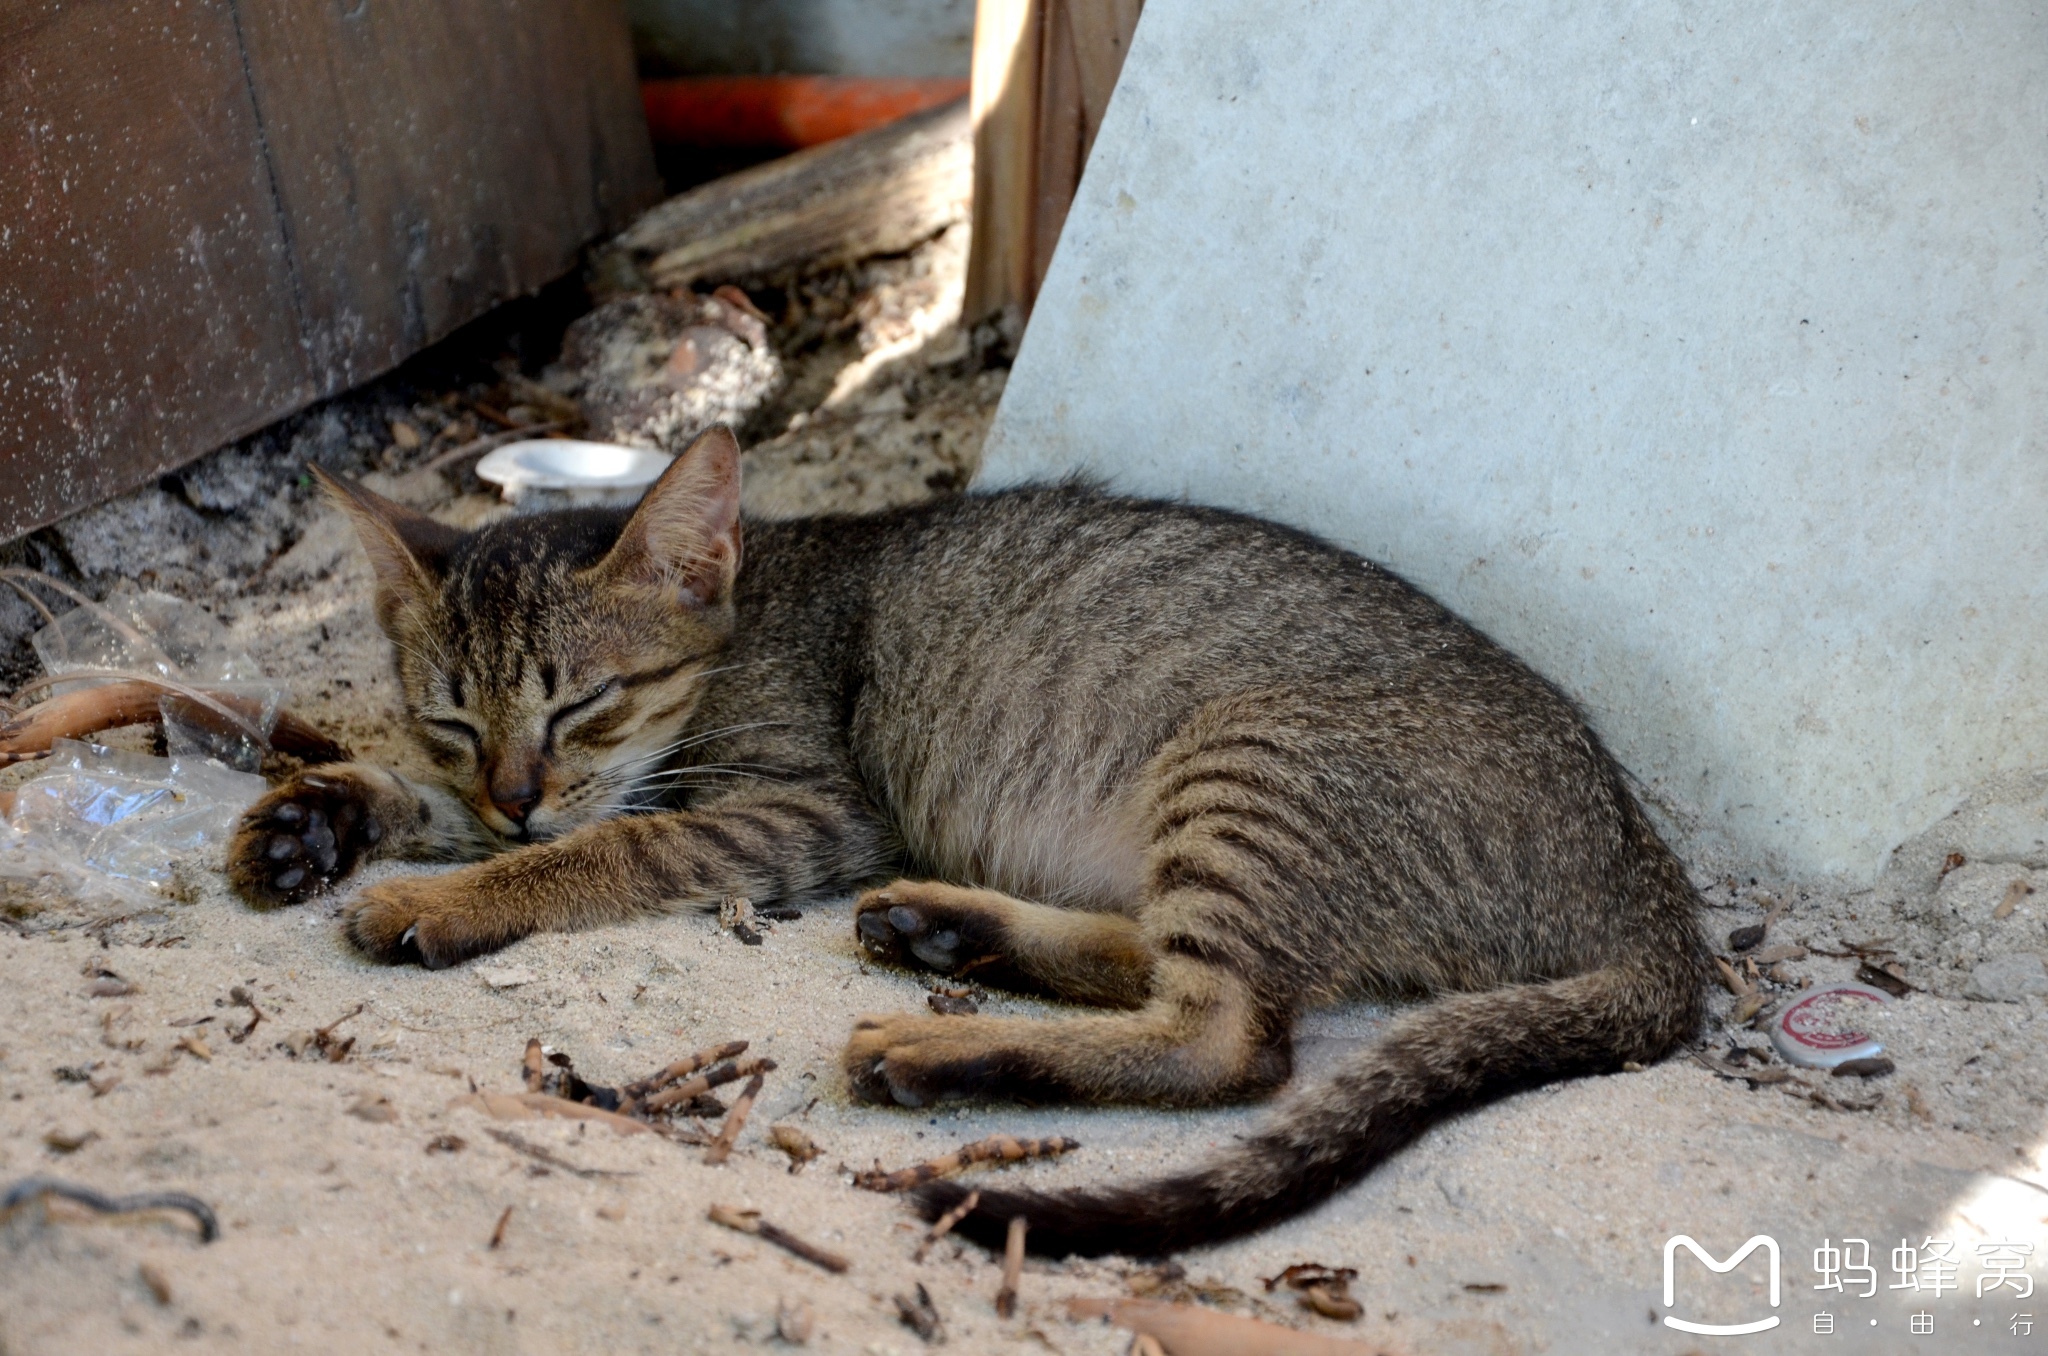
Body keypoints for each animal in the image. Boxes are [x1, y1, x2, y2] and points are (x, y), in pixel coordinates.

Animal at [224, 430, 1703, 1261]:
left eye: (579, 704)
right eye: (451, 718)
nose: (513, 795)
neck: (746, 617)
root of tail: (1645, 868)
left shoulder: (806, 806)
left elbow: (605, 851)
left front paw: (455, 893)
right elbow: (434, 799)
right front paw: (316, 816)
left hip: (1249, 763)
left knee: (1233, 1041)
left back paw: (943, 1044)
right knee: (1160, 966)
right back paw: (947, 928)